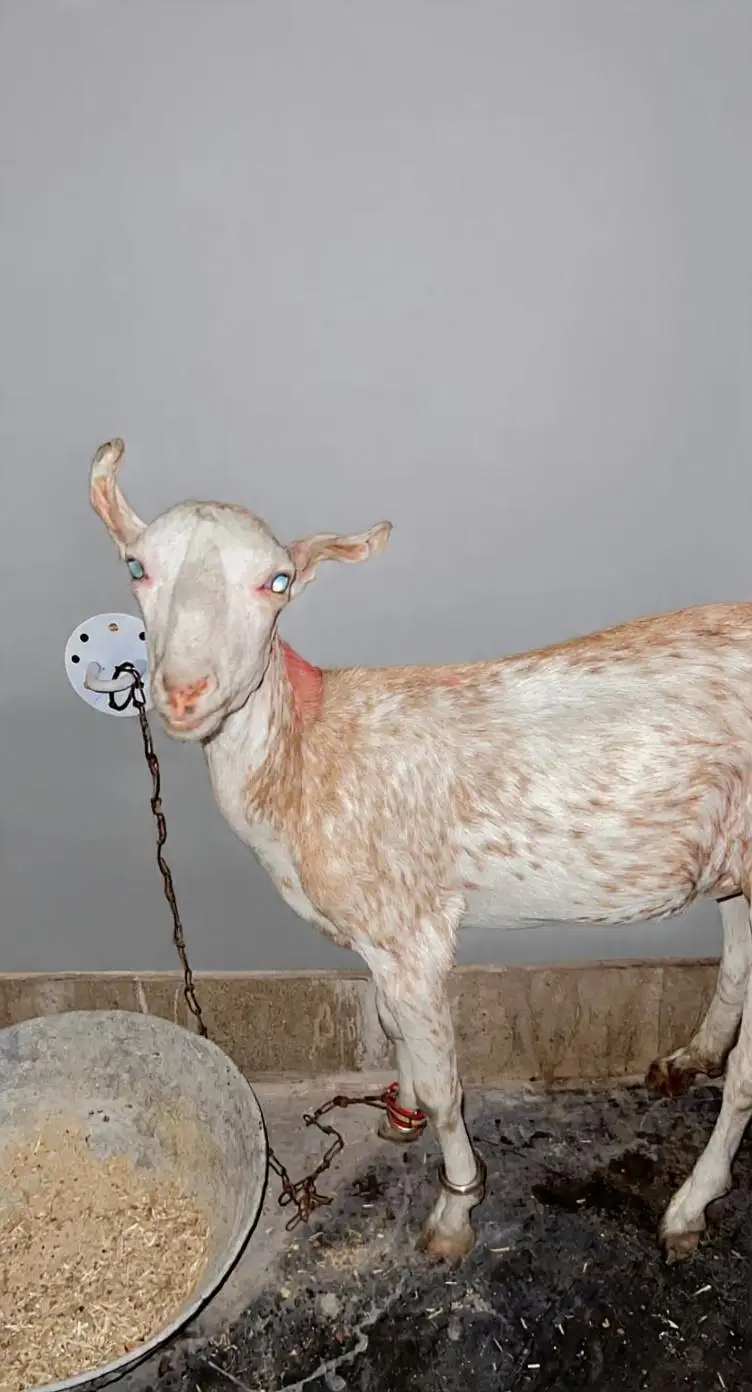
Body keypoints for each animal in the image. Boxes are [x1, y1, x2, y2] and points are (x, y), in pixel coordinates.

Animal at [90, 436, 752, 1264]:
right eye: (135, 567)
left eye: (278, 583)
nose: (184, 693)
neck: (303, 759)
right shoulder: (378, 933)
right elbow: (391, 1025)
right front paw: (397, 1113)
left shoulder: (413, 929)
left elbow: (445, 1084)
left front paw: (455, 1206)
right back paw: (689, 1058)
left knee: (750, 1072)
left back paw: (690, 1204)